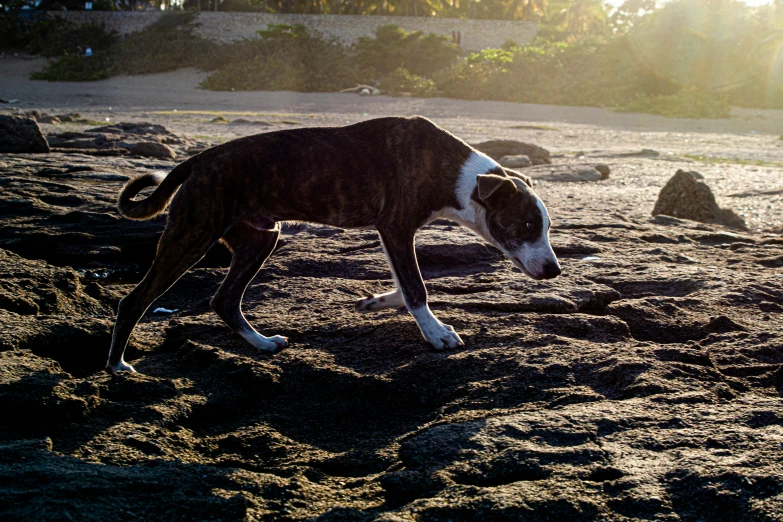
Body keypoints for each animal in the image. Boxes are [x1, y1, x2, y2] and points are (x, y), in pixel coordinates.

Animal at [107, 116, 560, 372]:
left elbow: (406, 284)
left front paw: (377, 302)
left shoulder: (395, 234)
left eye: (546, 226)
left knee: (224, 299)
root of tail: (197, 161)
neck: (456, 173)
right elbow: (417, 288)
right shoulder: (395, 227)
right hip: (192, 234)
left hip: (260, 238)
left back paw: (260, 342)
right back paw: (117, 365)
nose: (555, 270)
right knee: (134, 301)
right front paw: (435, 333)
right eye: (526, 224)